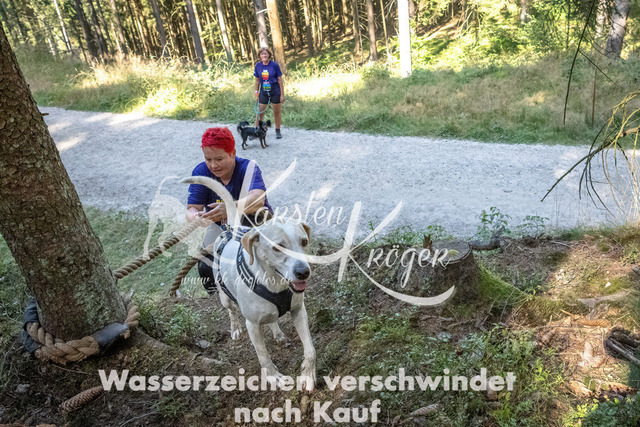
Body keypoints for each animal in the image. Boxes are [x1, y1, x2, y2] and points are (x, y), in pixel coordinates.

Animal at [180, 176, 316, 391]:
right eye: (277, 247)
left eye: (303, 241)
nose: (303, 272)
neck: (274, 284)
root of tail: (230, 232)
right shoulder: (252, 324)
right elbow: (263, 355)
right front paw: (273, 376)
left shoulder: (299, 311)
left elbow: (310, 350)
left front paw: (308, 375)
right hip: (224, 297)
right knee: (231, 311)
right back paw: (235, 328)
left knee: (272, 318)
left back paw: (276, 331)